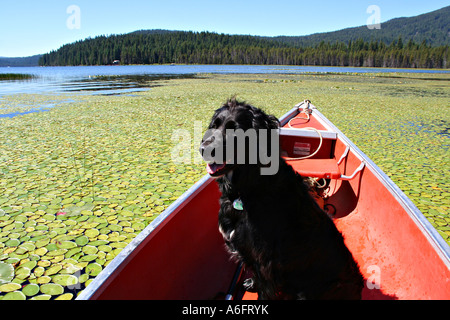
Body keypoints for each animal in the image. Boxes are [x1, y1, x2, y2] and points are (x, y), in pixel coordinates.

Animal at [202, 99, 364, 298]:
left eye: (236, 131)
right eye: (214, 125)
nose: (203, 149)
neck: (249, 186)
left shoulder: (266, 264)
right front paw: (252, 283)